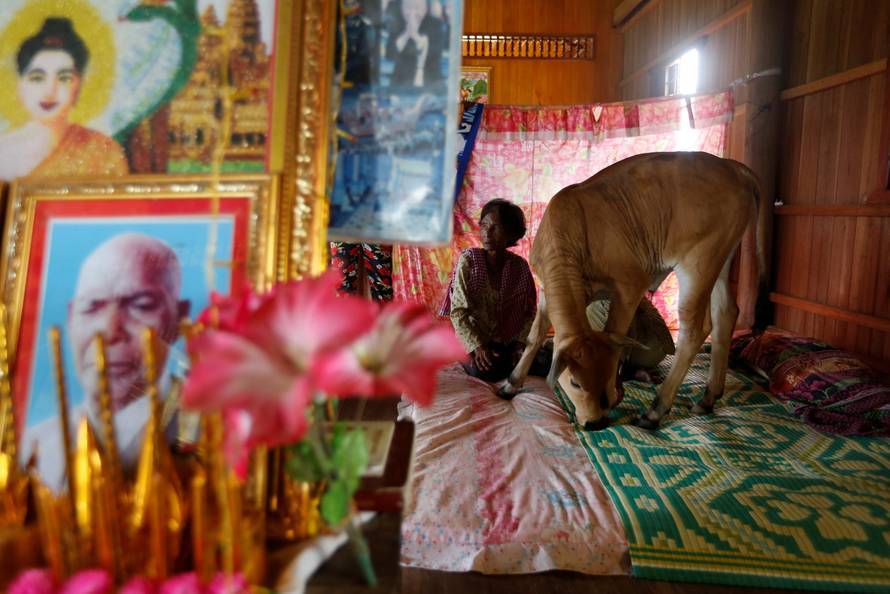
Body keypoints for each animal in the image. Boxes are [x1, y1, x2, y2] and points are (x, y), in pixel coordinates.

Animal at [498, 152, 767, 430]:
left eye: (606, 373)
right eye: (575, 382)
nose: (595, 423)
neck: (571, 233)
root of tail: (731, 166)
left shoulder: (629, 285)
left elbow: (616, 334)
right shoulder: (545, 291)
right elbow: (535, 336)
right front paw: (511, 384)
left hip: (699, 262)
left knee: (695, 329)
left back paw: (655, 411)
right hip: (721, 262)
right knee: (726, 312)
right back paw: (708, 397)